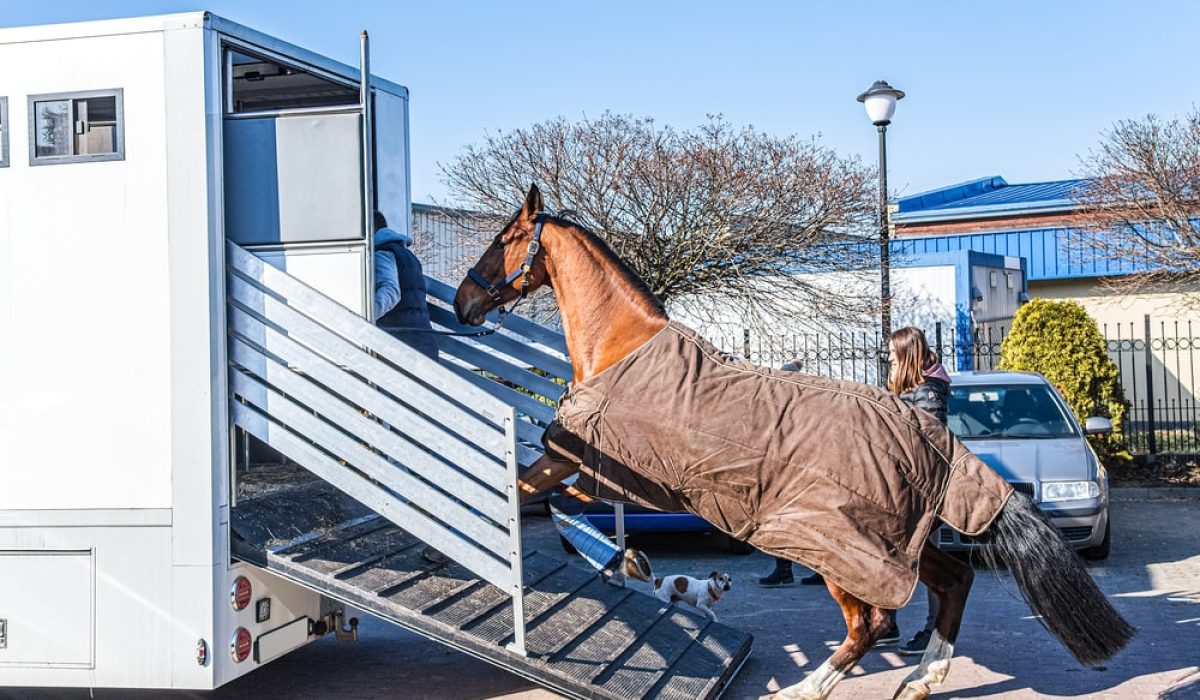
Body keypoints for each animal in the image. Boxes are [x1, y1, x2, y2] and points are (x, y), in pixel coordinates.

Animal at [453, 184, 1134, 700]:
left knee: (872, 622)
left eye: (501, 240)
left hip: (840, 547)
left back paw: (813, 688)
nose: (462, 302)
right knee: (952, 581)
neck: (622, 348)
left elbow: (528, 493)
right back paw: (919, 679)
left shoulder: (576, 462)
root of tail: (931, 435)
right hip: (897, 543)